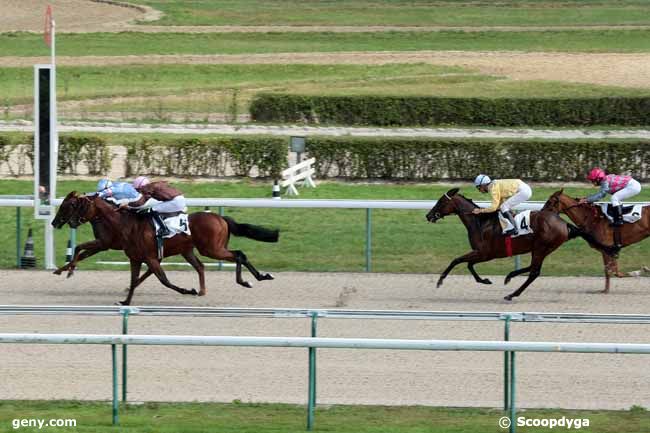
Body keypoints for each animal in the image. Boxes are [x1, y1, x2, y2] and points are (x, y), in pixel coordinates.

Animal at [51, 191, 278, 306]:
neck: (124, 223)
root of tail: (220, 218)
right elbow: (134, 280)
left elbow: (164, 280)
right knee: (202, 266)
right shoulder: (134, 256)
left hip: (211, 248)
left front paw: (187, 290)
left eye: (71, 206)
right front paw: (125, 301)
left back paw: (249, 279)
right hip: (190, 250)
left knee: (239, 254)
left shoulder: (139, 253)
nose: (56, 222)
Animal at [426, 189, 612, 300]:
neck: (480, 222)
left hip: (541, 247)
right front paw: (485, 280)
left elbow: (458, 261)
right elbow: (468, 265)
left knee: (534, 272)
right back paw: (510, 277)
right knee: (532, 268)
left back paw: (512, 294)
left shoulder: (484, 253)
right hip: (543, 249)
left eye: (441, 202)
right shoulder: (482, 253)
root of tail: (564, 223)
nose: (428, 215)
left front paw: (440, 281)